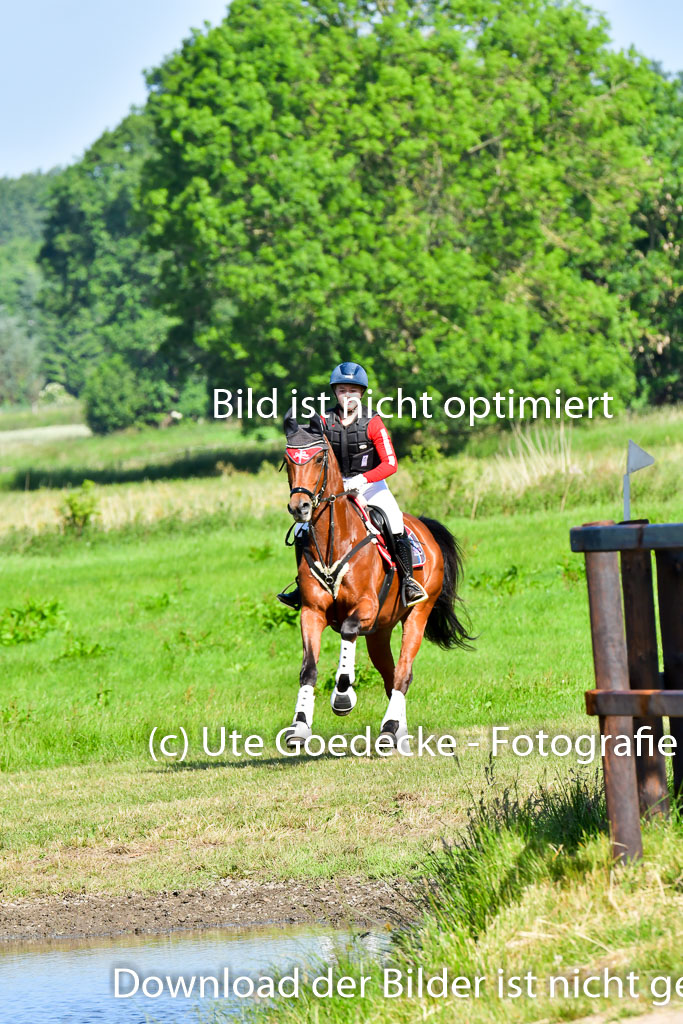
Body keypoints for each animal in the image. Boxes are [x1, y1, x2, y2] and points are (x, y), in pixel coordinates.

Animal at [280, 409, 473, 753]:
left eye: (319, 458)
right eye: (289, 460)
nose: (299, 507)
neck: (333, 540)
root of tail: (423, 526)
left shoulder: (365, 607)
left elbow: (347, 631)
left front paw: (343, 697)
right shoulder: (312, 612)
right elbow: (308, 669)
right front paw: (299, 727)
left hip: (416, 614)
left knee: (403, 674)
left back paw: (390, 728)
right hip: (380, 631)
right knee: (390, 674)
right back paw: (399, 735)